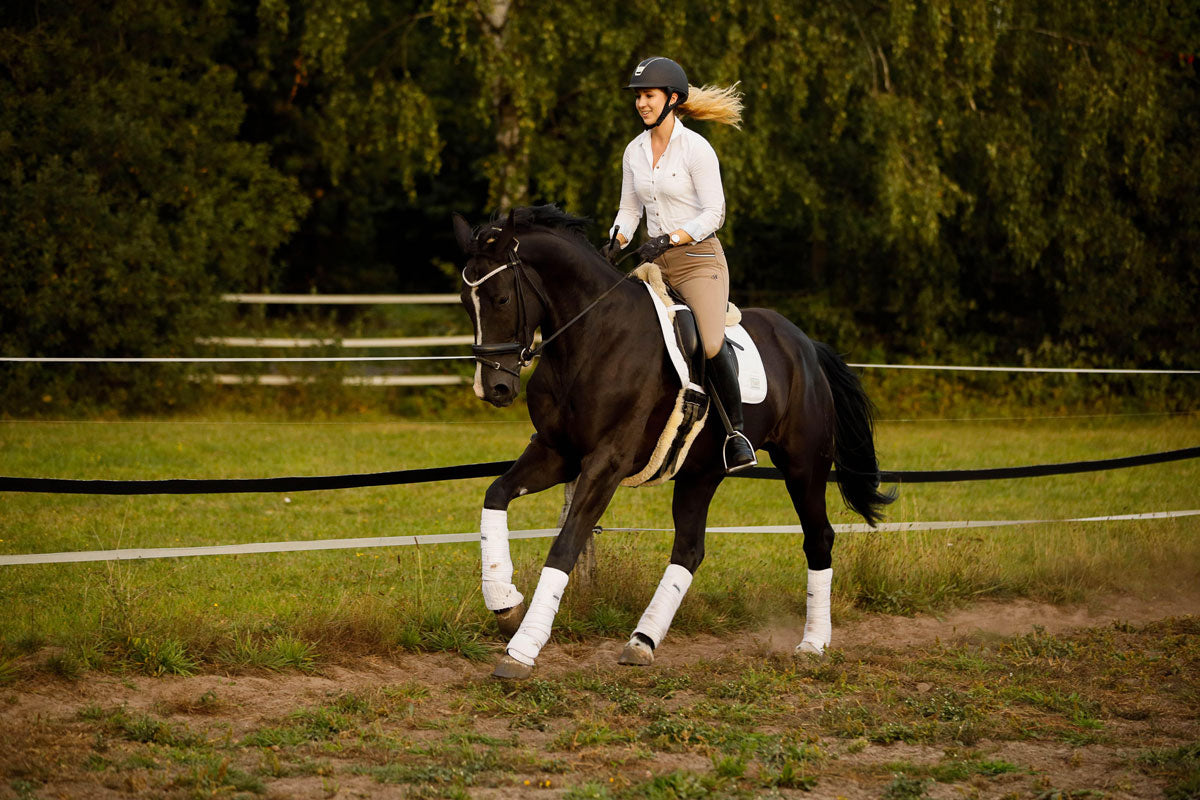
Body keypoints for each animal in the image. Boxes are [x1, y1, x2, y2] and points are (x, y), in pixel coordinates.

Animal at [451, 205, 892, 676]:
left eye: (500, 299)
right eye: (464, 302)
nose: (494, 389)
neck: (592, 338)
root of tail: (805, 344)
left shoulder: (607, 462)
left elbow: (566, 545)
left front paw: (522, 649)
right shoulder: (557, 453)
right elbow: (496, 495)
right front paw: (505, 605)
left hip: (804, 464)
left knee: (818, 537)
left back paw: (812, 644)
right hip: (702, 472)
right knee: (689, 549)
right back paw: (642, 641)